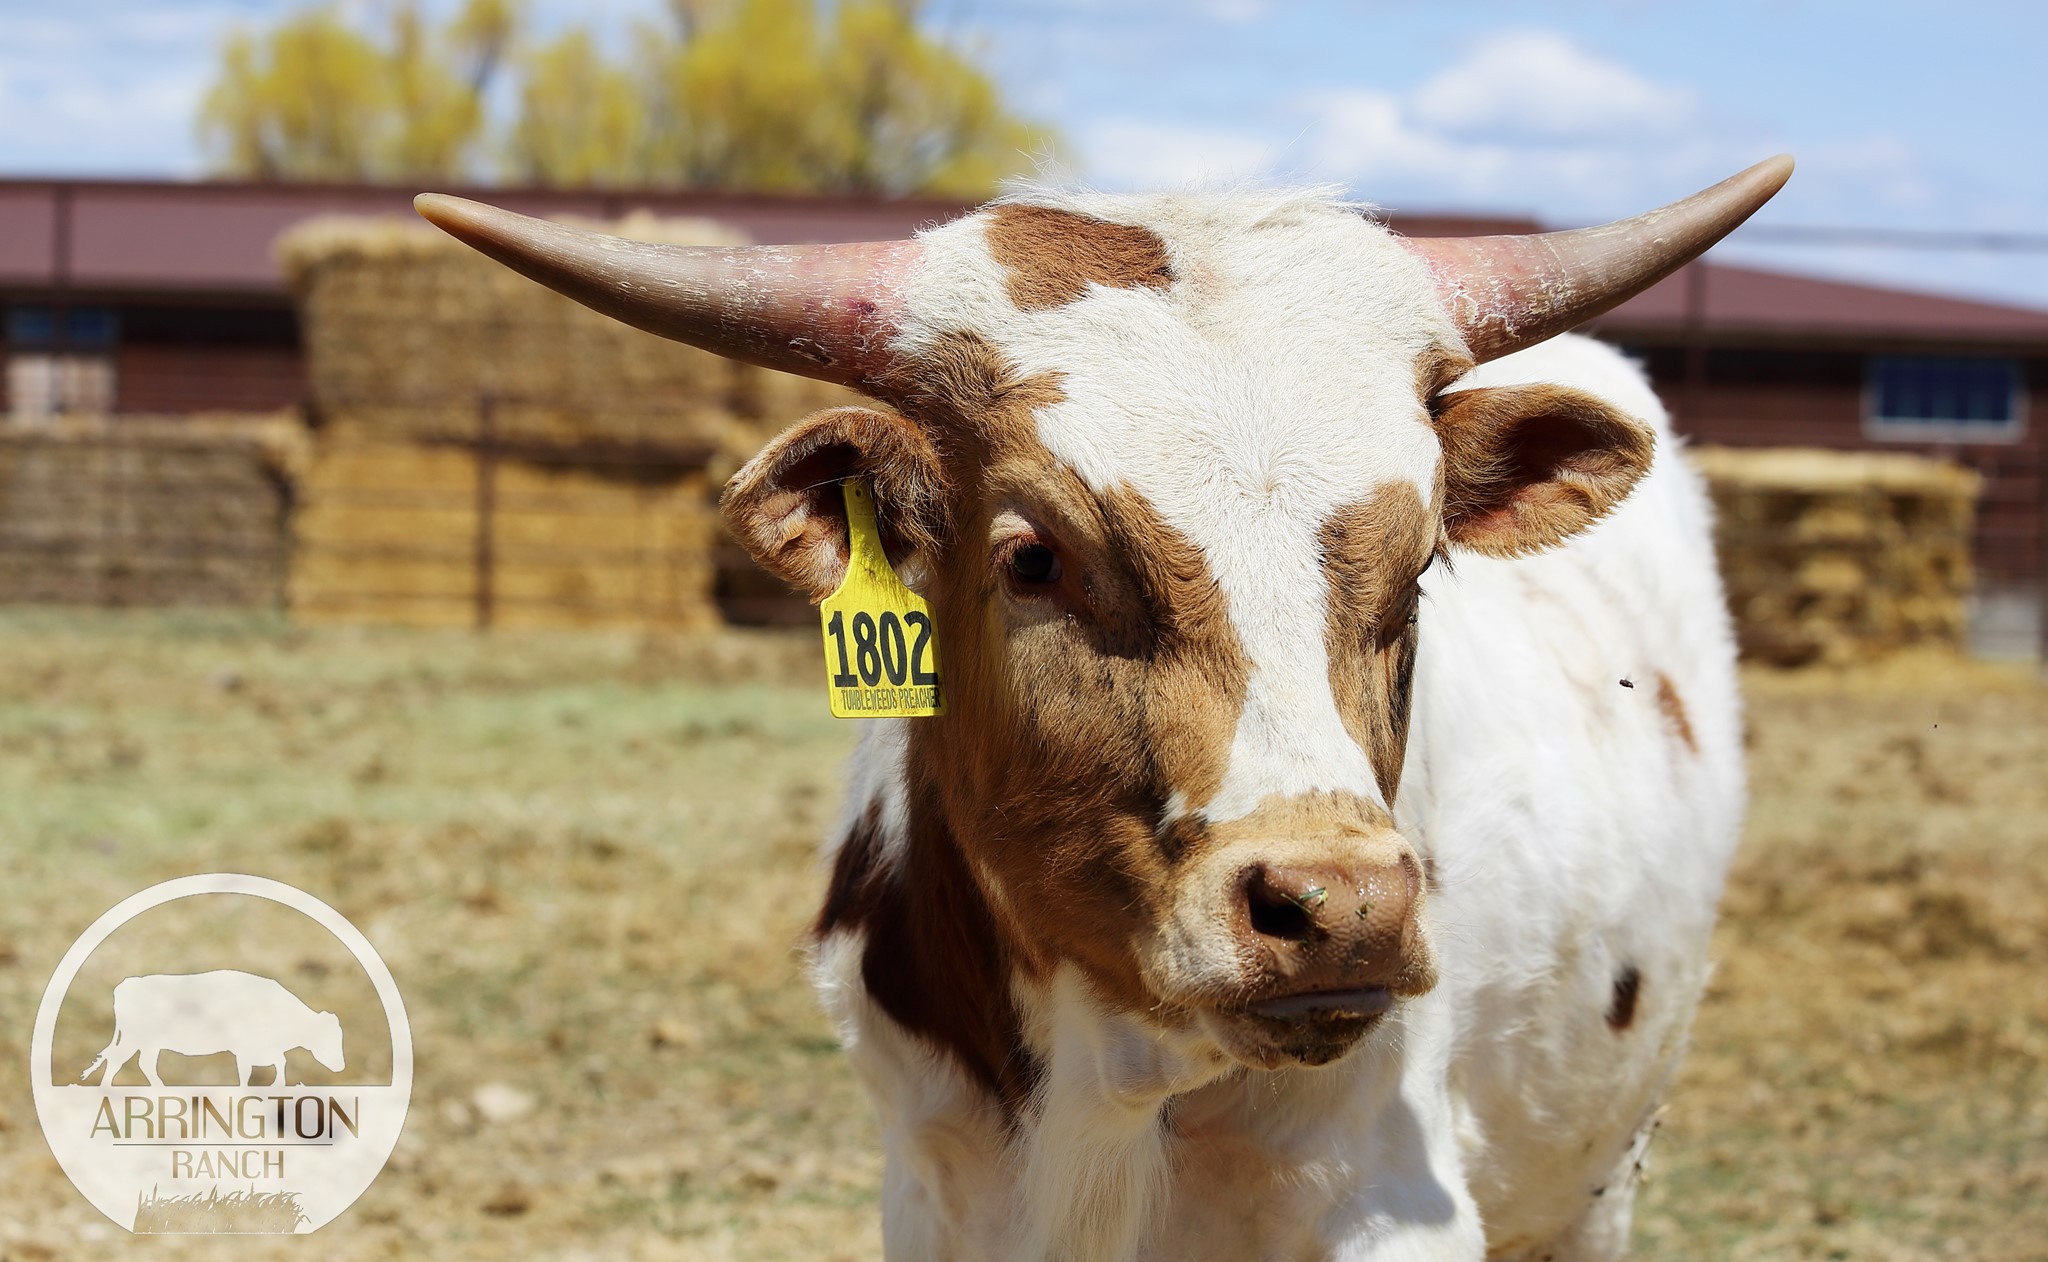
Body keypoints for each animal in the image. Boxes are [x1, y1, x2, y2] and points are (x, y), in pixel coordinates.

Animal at [81, 971, 345, 1088]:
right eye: (327, 1039)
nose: (341, 1067)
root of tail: (126, 984)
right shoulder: (245, 1050)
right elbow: (246, 1072)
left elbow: (281, 1062)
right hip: (135, 1039)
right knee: (119, 1060)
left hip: (149, 1044)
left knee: (140, 1063)